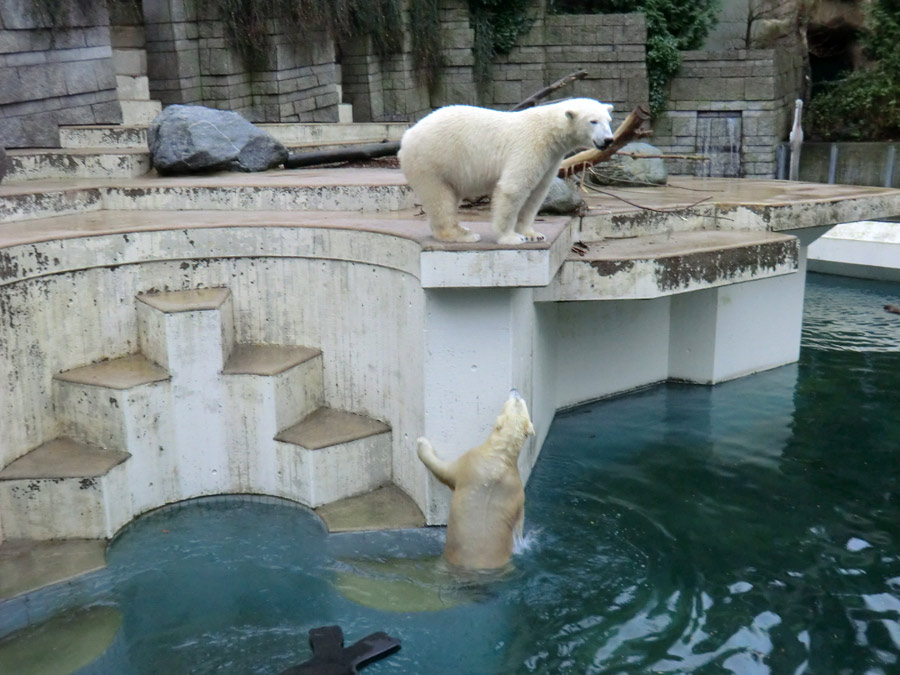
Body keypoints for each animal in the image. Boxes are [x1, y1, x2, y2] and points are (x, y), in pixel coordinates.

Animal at [400, 99, 616, 247]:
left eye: (608, 120)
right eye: (593, 121)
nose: (608, 140)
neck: (548, 130)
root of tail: (407, 136)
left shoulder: (551, 158)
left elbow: (536, 193)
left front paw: (532, 234)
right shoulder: (529, 146)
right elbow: (514, 188)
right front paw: (511, 237)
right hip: (433, 160)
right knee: (440, 197)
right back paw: (463, 234)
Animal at [416, 390, 536, 572]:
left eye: (516, 401)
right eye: (521, 402)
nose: (515, 390)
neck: (500, 456)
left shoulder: (469, 463)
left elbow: (444, 471)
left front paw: (421, 443)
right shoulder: (517, 489)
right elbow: (519, 520)